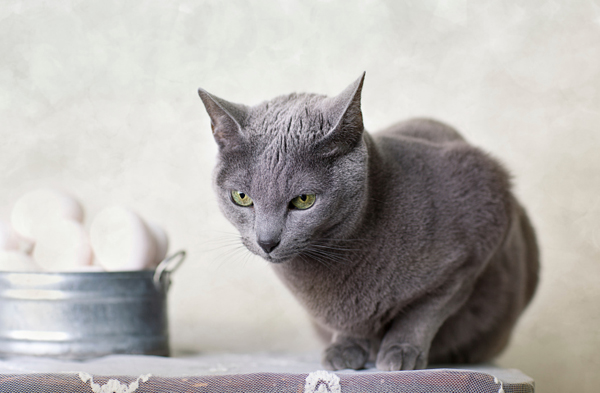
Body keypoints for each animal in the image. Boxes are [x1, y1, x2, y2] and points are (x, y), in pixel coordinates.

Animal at [197, 73, 540, 370]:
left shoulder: (480, 230)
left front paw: (401, 350)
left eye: (304, 200)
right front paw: (346, 346)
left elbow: (425, 310)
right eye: (241, 197)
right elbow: (352, 320)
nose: (267, 241)